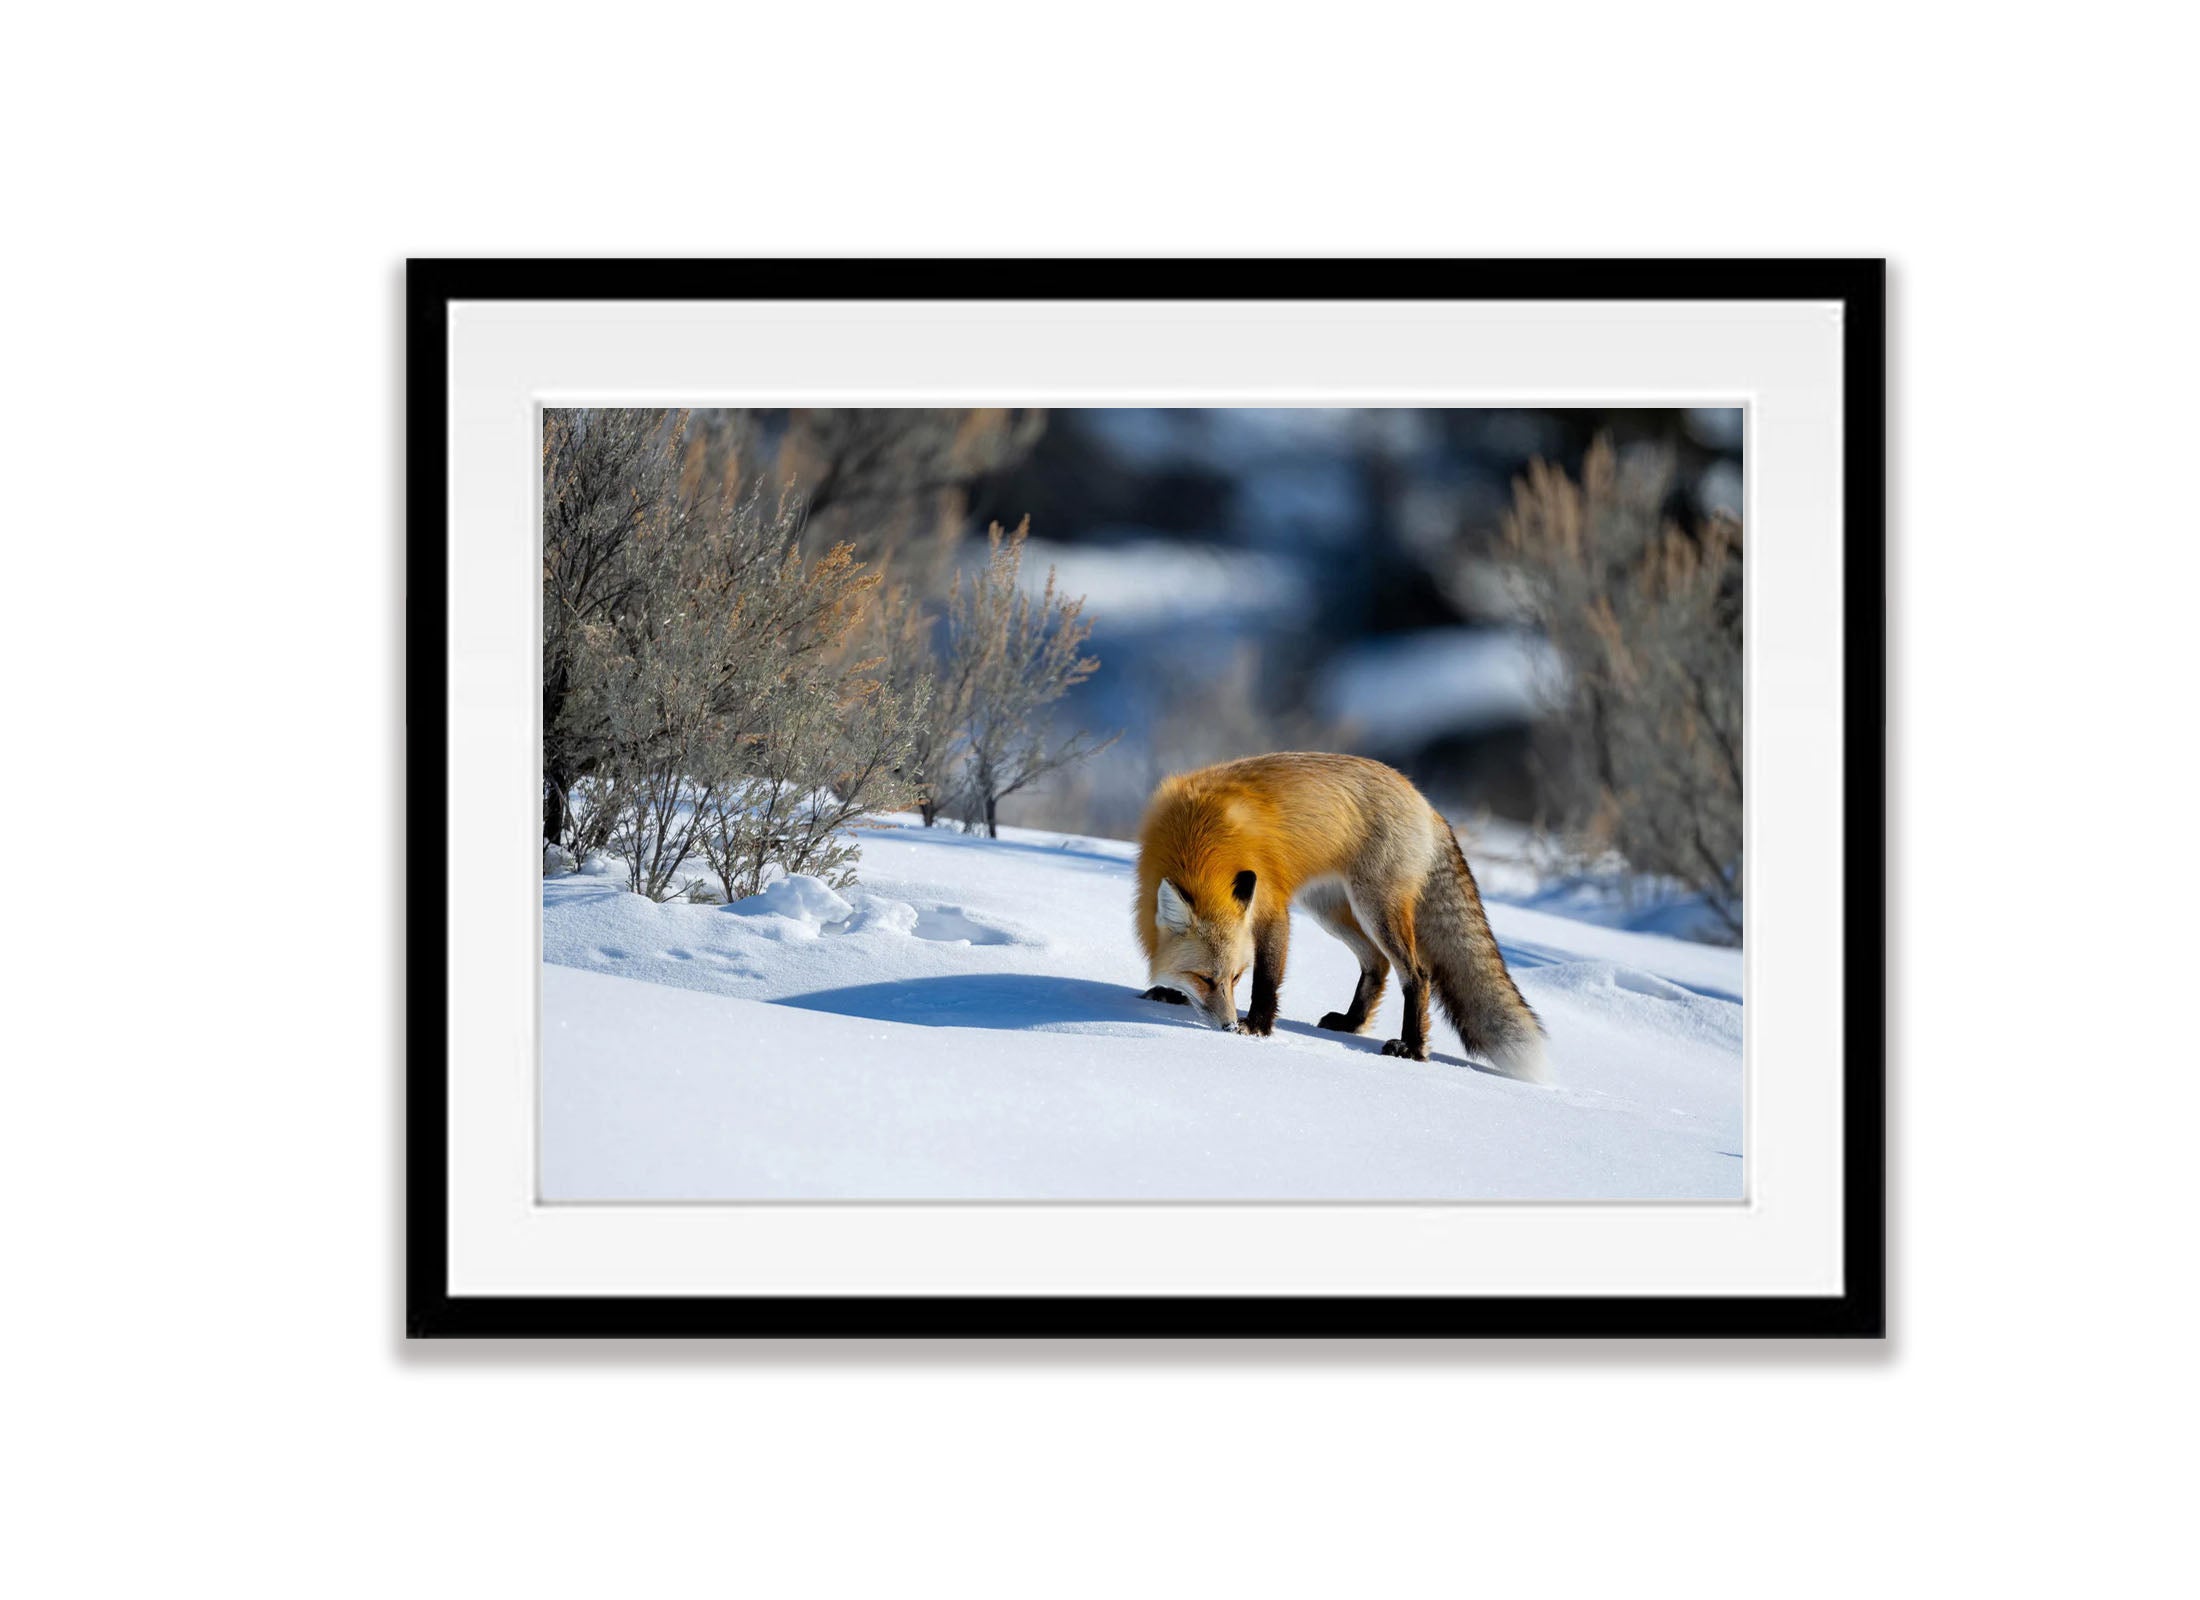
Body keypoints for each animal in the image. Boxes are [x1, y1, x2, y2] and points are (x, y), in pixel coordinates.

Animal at [1135, 748, 1548, 1078]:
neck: (1199, 840)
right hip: (1330, 910)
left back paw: (1413, 1048)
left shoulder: (1272, 907)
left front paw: (1258, 1026)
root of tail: (1425, 802)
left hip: (1375, 908)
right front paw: (1169, 993)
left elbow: (1267, 978)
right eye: (1205, 978)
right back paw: (1352, 1022)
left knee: (1416, 973)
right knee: (1376, 964)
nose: (1228, 1028)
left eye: (1236, 977)